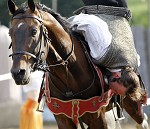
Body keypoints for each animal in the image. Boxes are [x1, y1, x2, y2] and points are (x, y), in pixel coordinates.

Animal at [7, 0, 149, 128]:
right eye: (10, 33)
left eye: (34, 31)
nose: (18, 73)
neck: (68, 73)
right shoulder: (63, 118)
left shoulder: (97, 117)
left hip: (132, 101)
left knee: (142, 121)